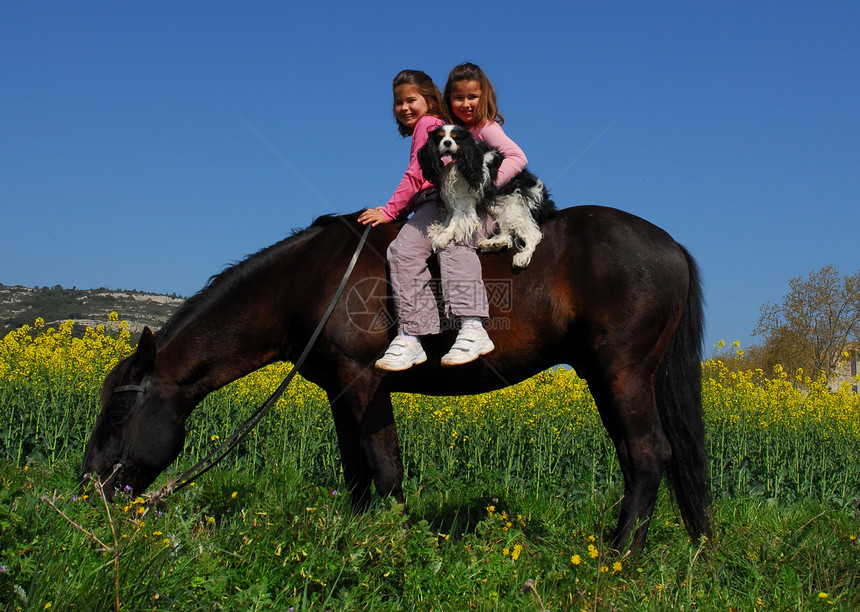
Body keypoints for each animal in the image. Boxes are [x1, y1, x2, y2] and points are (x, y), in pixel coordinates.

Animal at [82, 206, 712, 548]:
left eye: (119, 410)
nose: (90, 490)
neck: (311, 279)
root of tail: (673, 246)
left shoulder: (366, 382)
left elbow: (385, 468)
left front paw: (394, 546)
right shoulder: (342, 391)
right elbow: (358, 473)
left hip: (621, 372)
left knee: (649, 456)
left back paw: (619, 559)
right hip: (614, 377)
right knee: (641, 457)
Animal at [418, 124, 556, 268]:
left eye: (456, 139)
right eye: (440, 137)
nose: (447, 143)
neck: (456, 165)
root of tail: (546, 202)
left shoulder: (465, 199)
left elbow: (456, 219)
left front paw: (443, 236)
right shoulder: (452, 198)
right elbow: (449, 216)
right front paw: (439, 229)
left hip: (514, 204)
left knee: (533, 234)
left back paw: (522, 256)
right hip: (499, 205)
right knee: (508, 230)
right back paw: (493, 243)